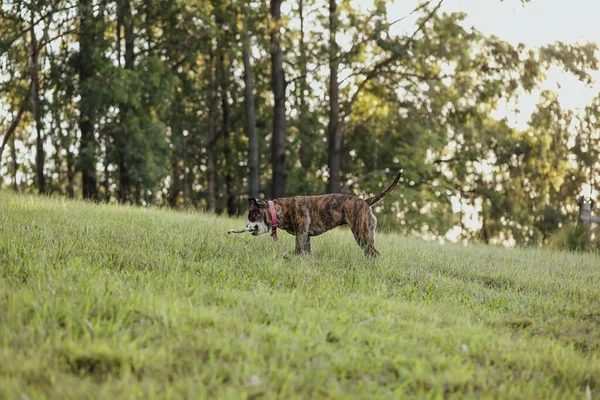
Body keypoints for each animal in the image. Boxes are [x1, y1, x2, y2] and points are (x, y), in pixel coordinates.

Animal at [244, 170, 404, 255]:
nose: (246, 226)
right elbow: (306, 253)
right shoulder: (306, 237)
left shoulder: (301, 234)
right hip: (366, 236)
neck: (279, 210)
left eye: (251, 216)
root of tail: (365, 201)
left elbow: (297, 250)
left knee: (374, 253)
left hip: (362, 234)